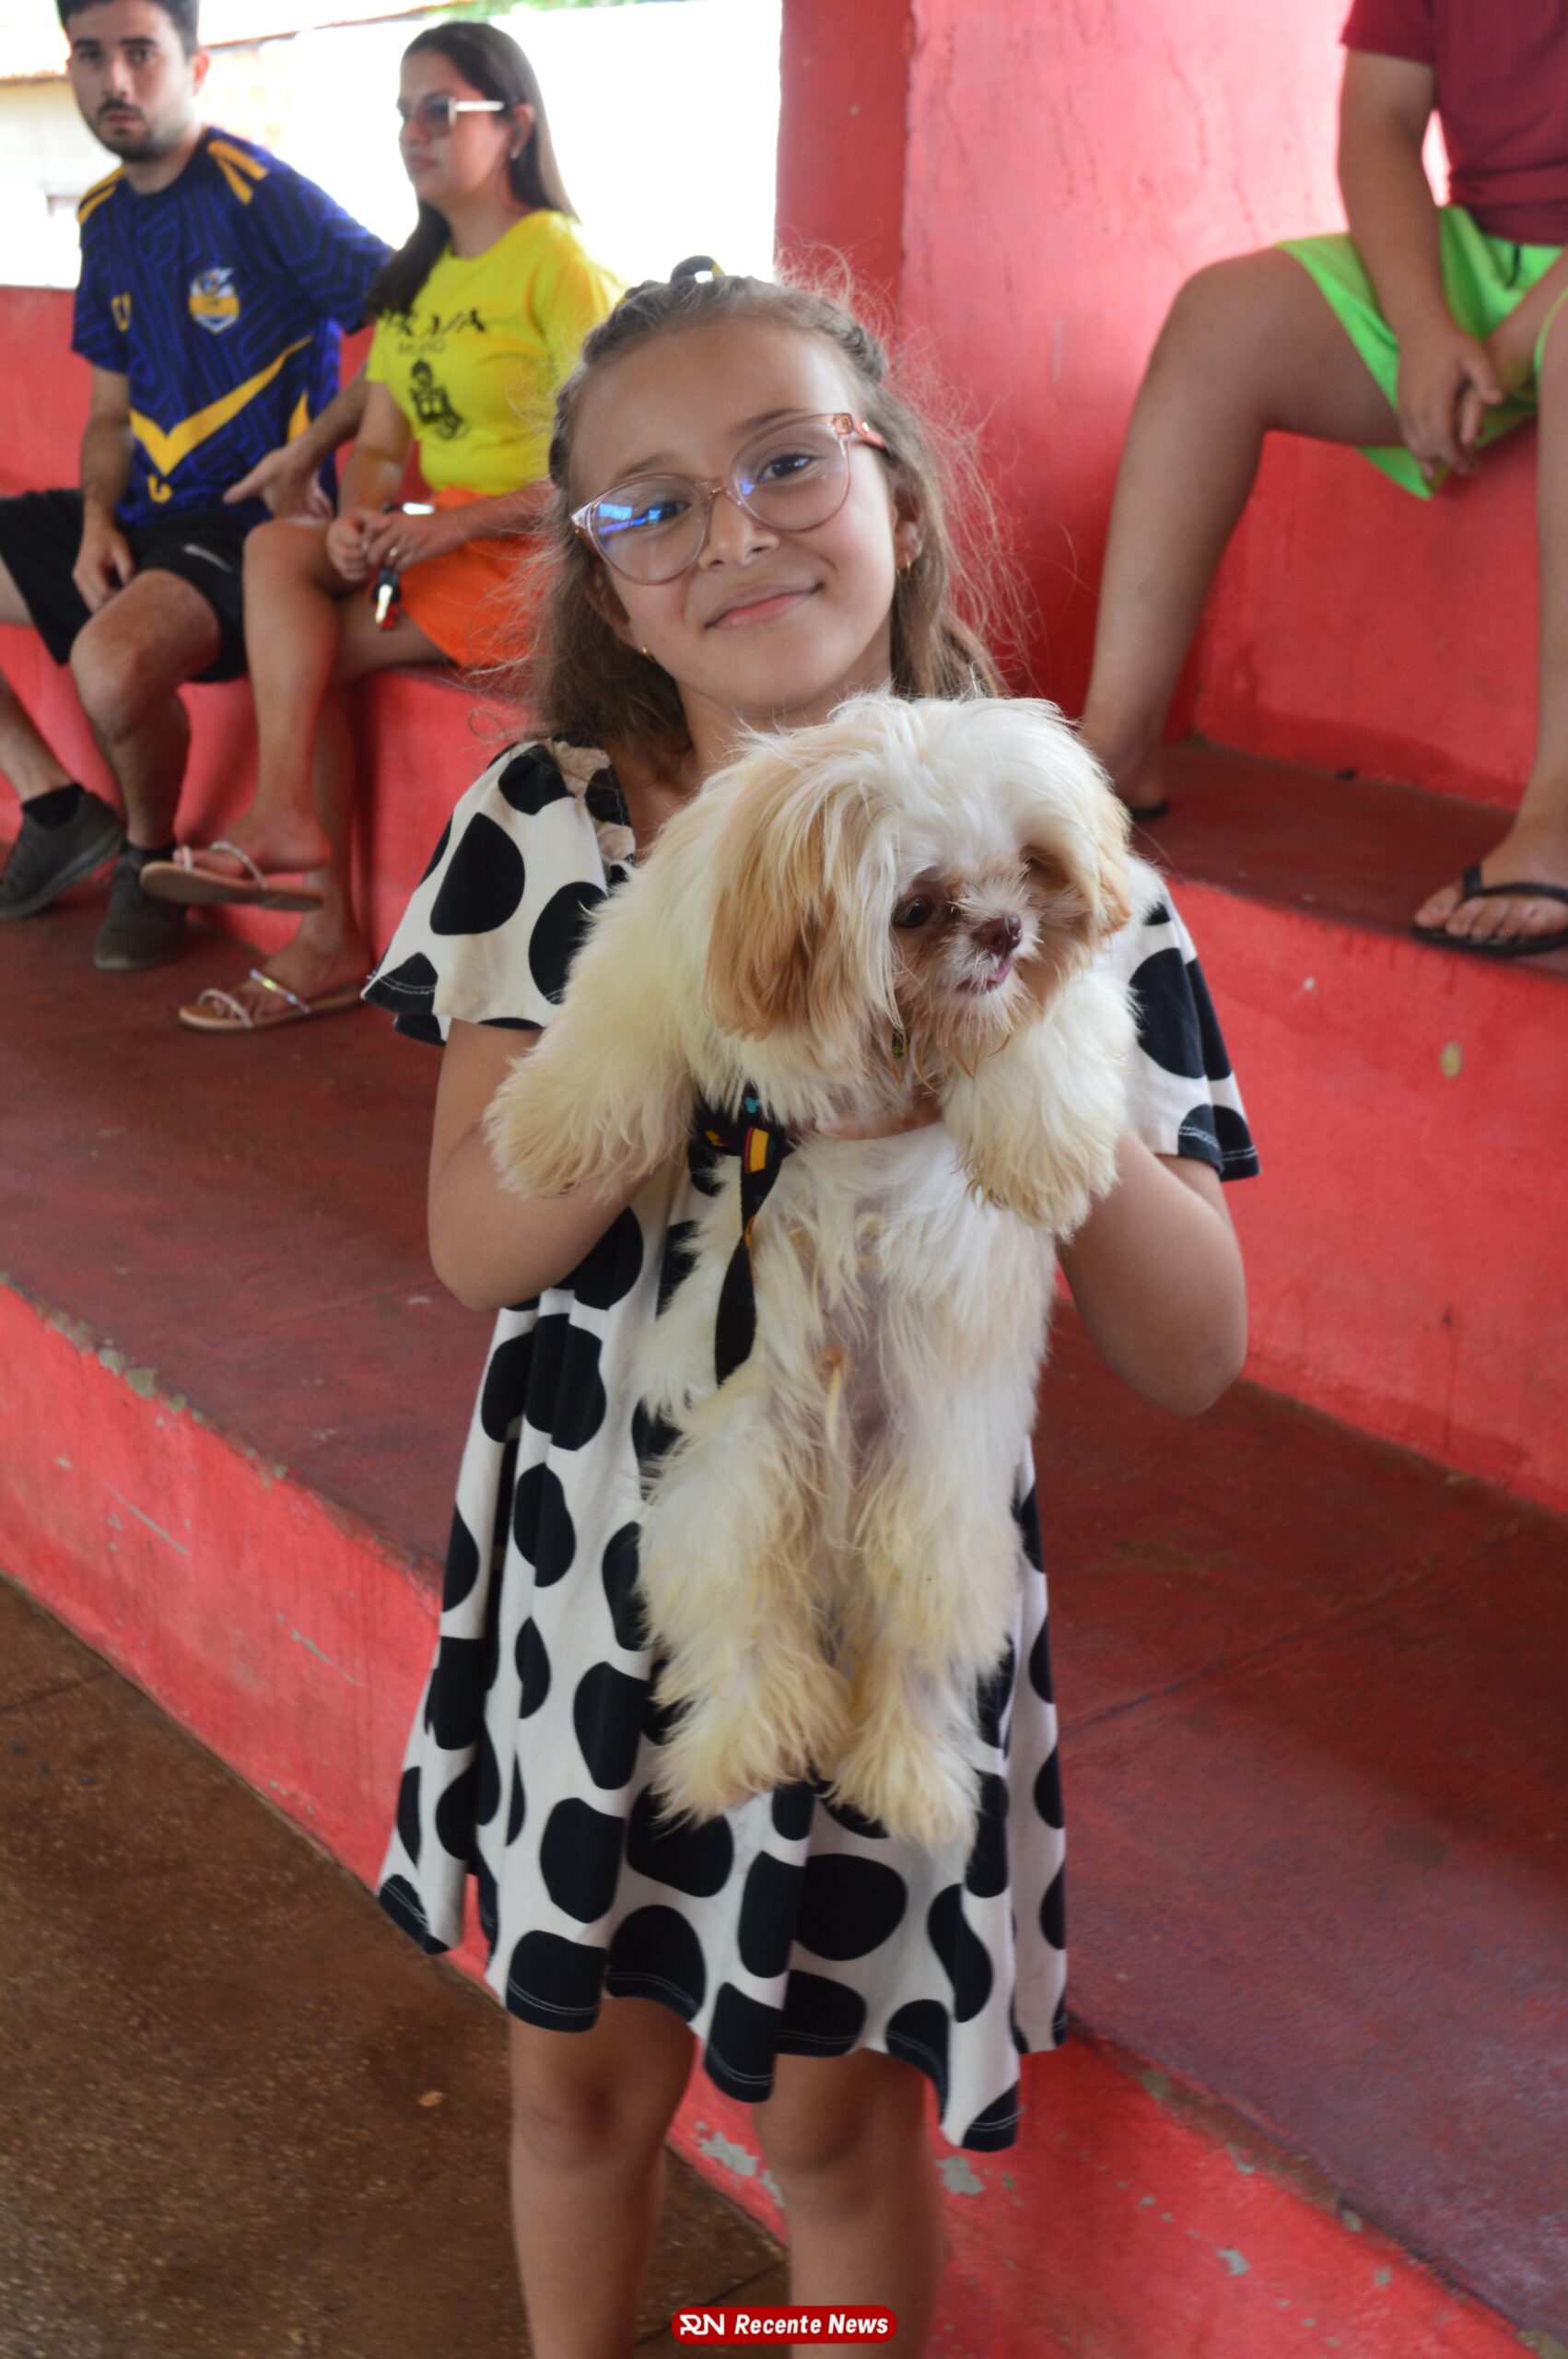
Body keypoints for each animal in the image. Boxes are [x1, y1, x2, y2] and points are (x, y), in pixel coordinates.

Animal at [487, 693, 1141, 1851]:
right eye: (917, 907)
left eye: (1031, 866)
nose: (1003, 930)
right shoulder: (674, 943)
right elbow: (611, 1033)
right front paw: (547, 1137)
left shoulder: (1048, 1001)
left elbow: (1046, 1032)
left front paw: (1049, 1156)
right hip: (738, 1467)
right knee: (746, 1611)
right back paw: (745, 1748)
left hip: (940, 1500)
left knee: (915, 1645)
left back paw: (903, 1776)